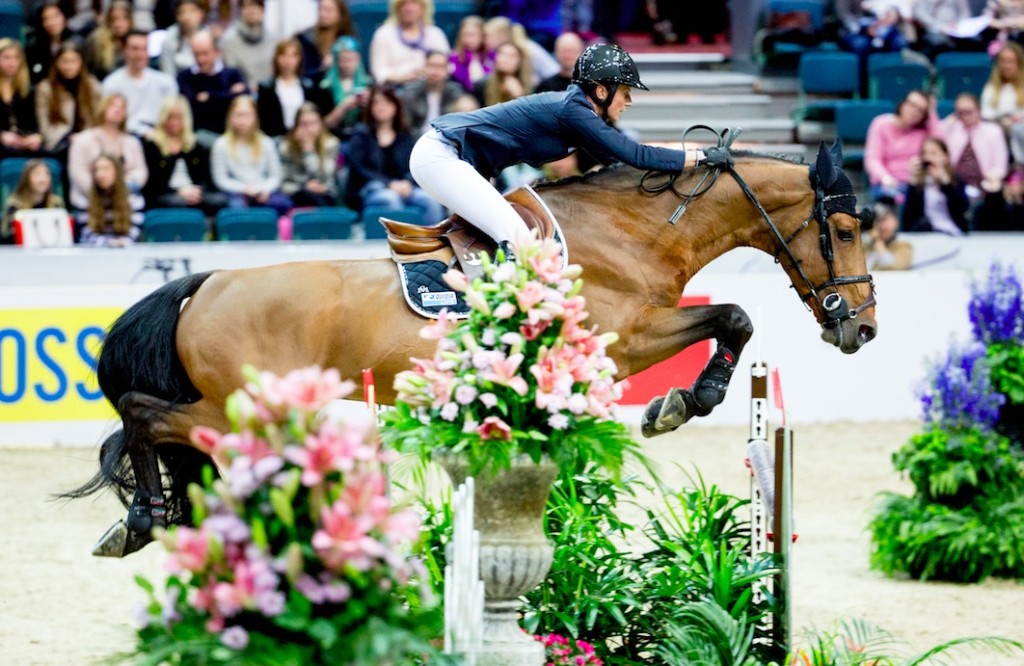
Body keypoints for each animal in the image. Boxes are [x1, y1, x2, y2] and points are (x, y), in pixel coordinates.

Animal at [68, 141, 876, 553]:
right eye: (843, 229)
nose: (860, 328)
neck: (635, 229)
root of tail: (203, 284)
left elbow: (730, 319)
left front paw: (681, 401)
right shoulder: (626, 339)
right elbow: (734, 316)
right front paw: (683, 403)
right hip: (244, 404)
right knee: (143, 412)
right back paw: (144, 518)